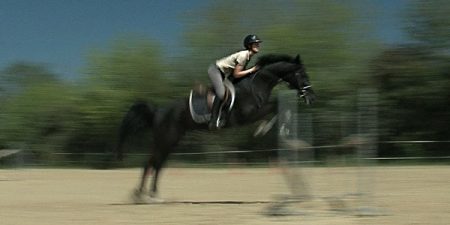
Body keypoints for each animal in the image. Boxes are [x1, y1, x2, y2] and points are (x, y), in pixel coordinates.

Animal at [114, 53, 314, 201]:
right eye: (302, 75)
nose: (311, 96)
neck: (257, 84)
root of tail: (157, 111)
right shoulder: (248, 115)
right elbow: (274, 106)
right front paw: (263, 129)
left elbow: (275, 107)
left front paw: (276, 129)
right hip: (165, 140)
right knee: (152, 163)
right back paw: (142, 195)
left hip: (169, 141)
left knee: (156, 164)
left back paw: (149, 195)